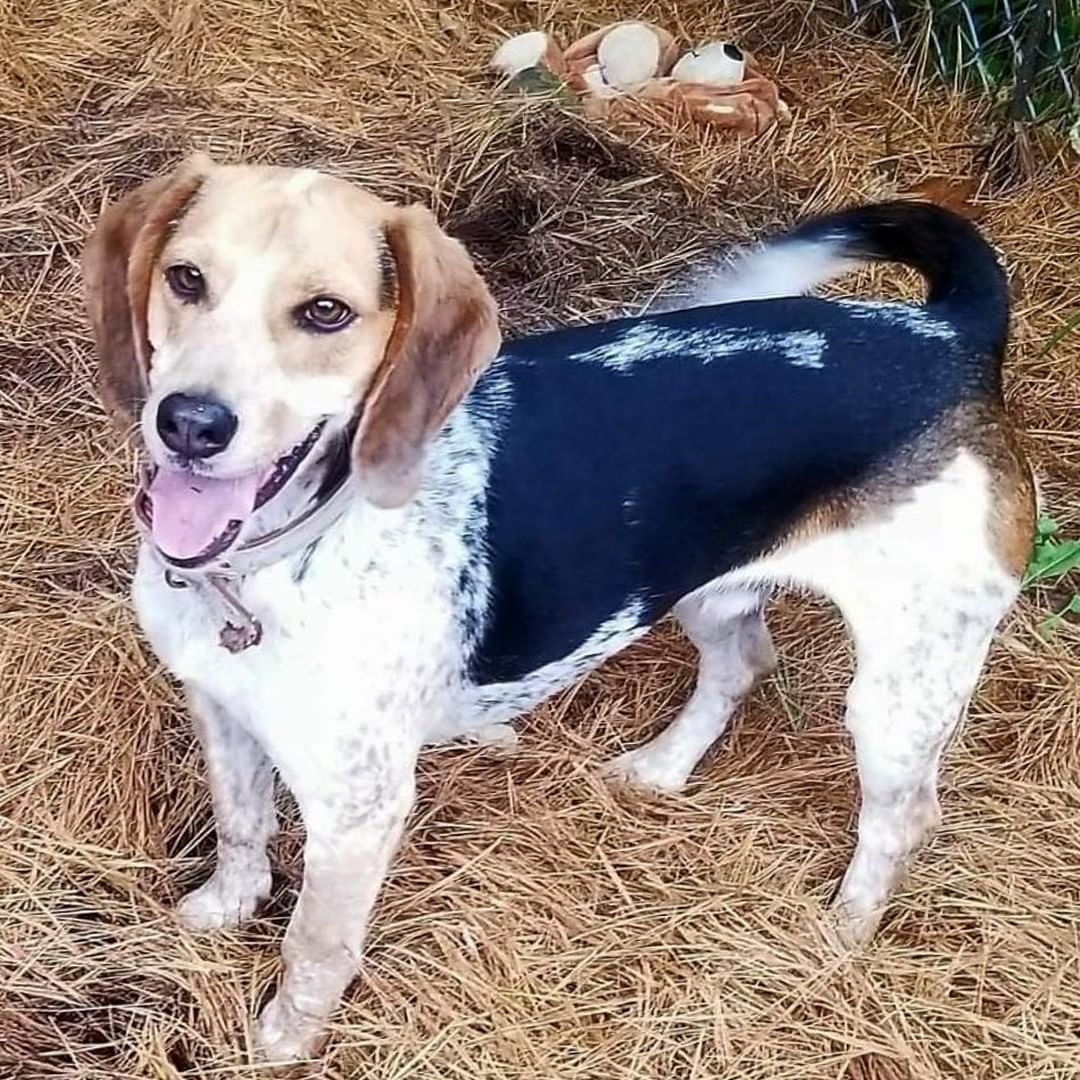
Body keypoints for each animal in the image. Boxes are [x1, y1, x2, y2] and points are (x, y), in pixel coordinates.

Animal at [82, 156, 1028, 1058]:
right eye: (186, 278)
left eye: (324, 313)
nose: (189, 423)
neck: (263, 569)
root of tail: (950, 334)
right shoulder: (218, 710)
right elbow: (239, 825)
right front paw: (223, 910)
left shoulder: (358, 811)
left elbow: (315, 945)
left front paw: (283, 1040)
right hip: (695, 585)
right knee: (744, 664)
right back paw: (661, 769)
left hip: (903, 691)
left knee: (906, 817)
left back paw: (843, 932)